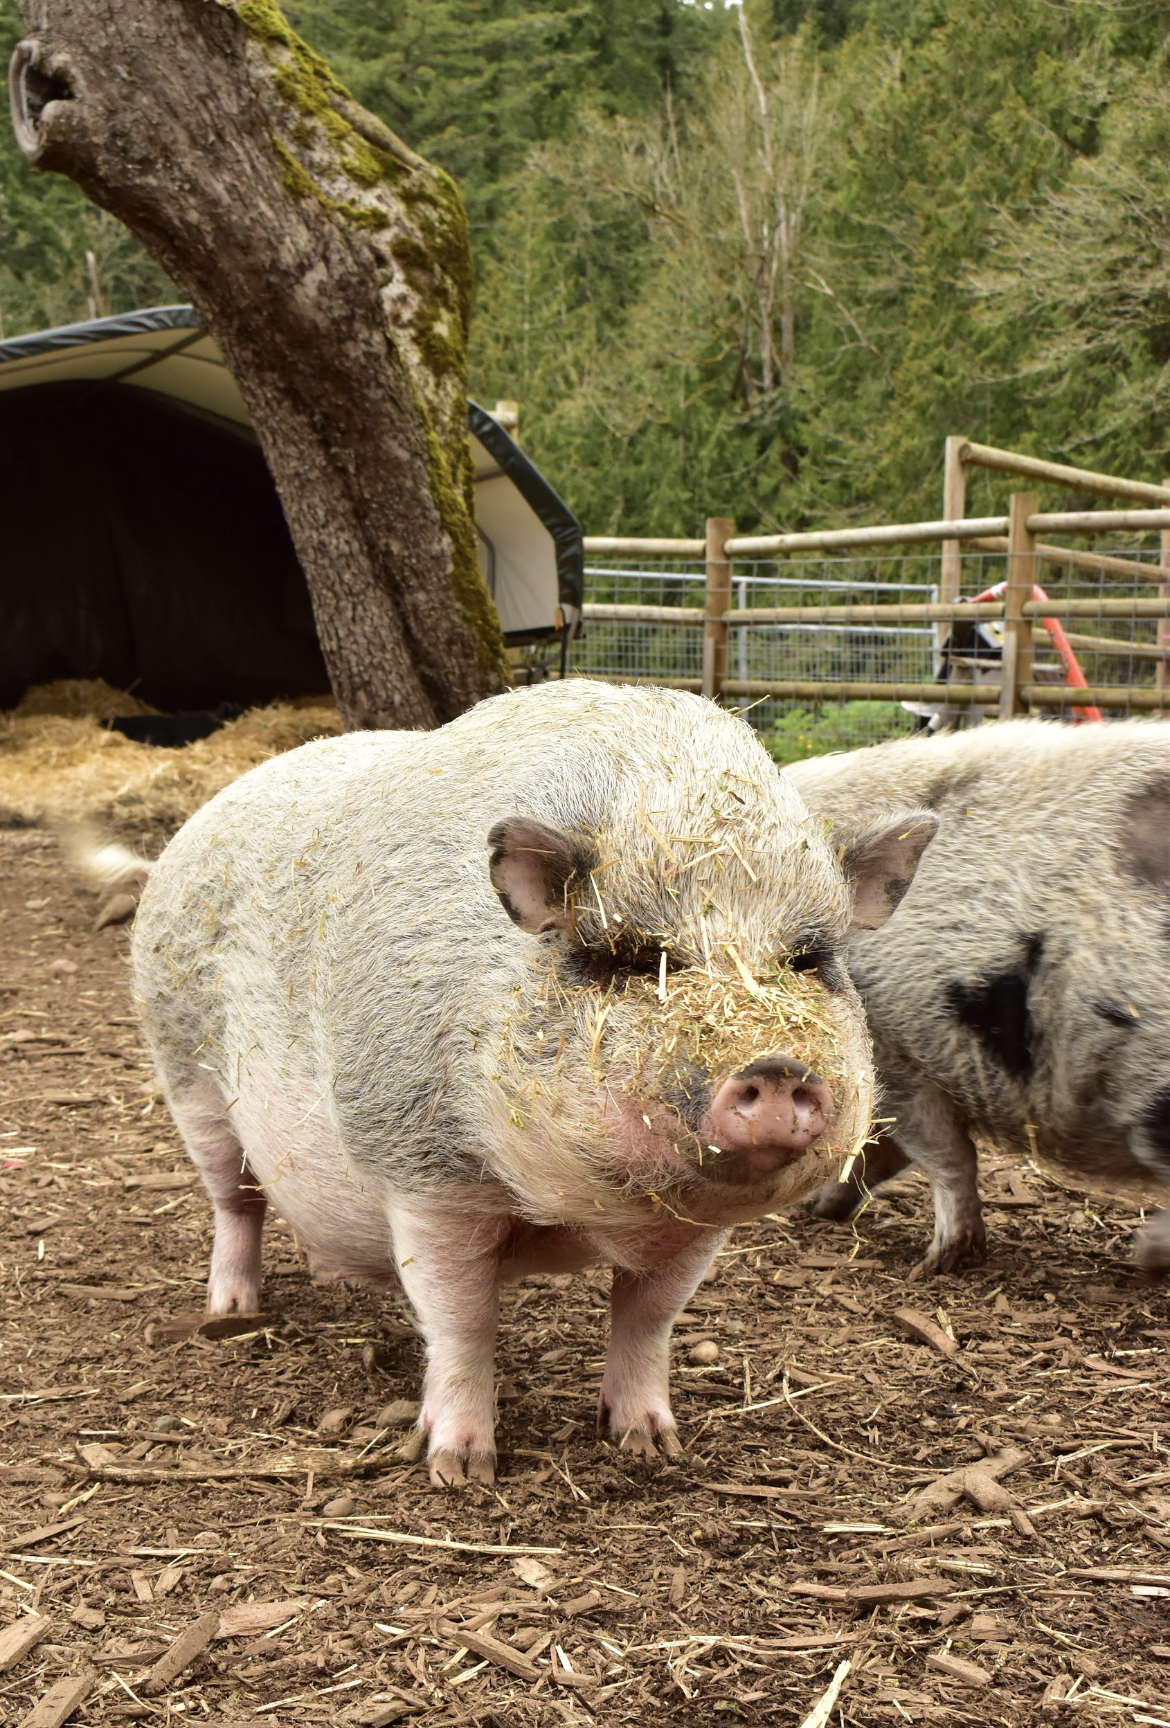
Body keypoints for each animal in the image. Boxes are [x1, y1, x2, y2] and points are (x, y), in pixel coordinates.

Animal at [127, 680, 934, 1485]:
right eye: (628, 958)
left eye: (808, 961)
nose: (775, 1067)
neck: (581, 1212)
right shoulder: (424, 1177)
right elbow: (462, 1321)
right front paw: (460, 1471)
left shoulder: (694, 1230)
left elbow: (648, 1319)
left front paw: (650, 1446)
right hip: (187, 1078)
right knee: (235, 1202)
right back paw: (232, 1311)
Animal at [787, 719, 1170, 1276]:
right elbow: (880, 1149)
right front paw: (823, 1210)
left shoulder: (901, 1049)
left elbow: (943, 1155)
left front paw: (941, 1263)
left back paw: (1147, 1256)